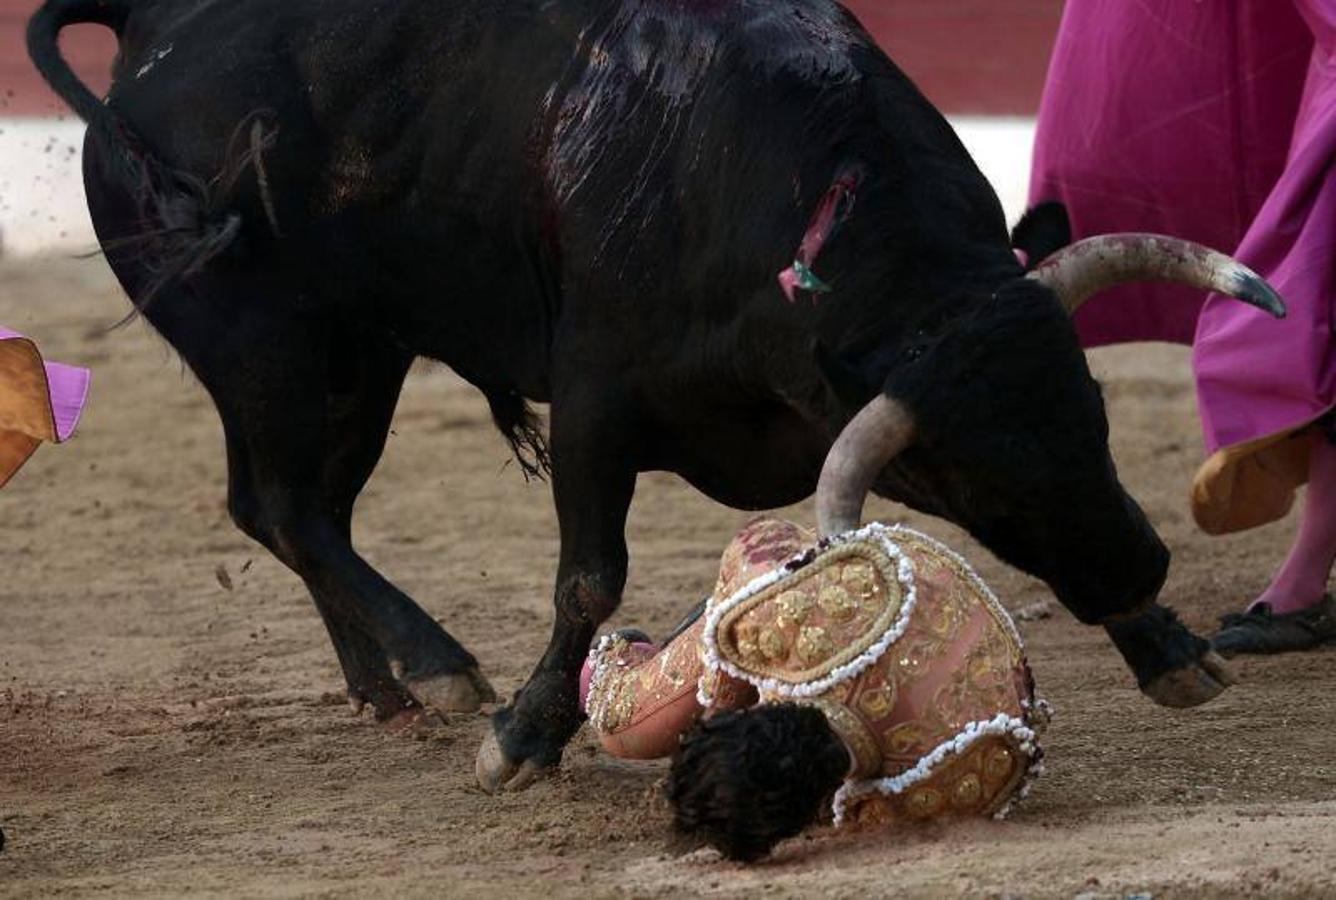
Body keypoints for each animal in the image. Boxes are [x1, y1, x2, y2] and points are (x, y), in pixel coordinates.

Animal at [23, 0, 1271, 785]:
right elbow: (588, 577)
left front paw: (1169, 648)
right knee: (283, 506)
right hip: (264, 346)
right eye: (971, 477)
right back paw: (437, 670)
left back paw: (385, 685)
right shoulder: (596, 404)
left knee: (299, 507)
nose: (1139, 570)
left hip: (356, 357)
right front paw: (521, 741)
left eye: (1093, 418)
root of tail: (154, 33)